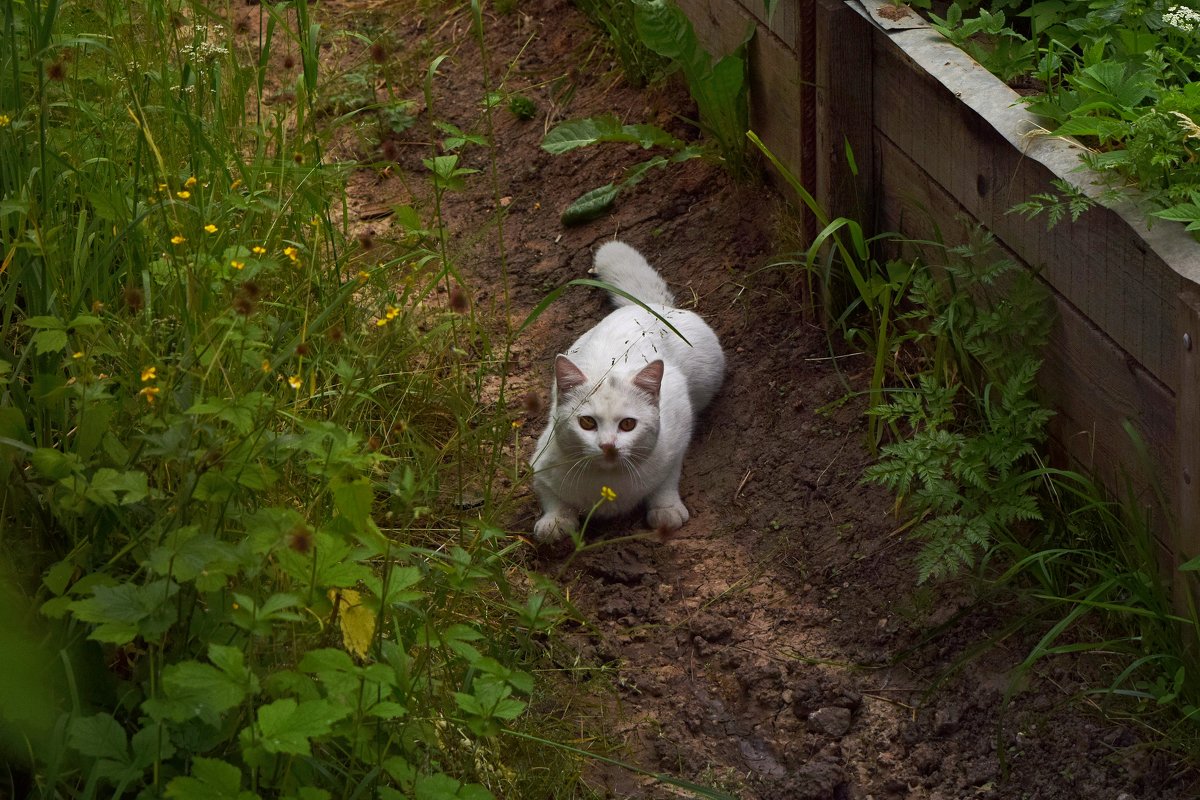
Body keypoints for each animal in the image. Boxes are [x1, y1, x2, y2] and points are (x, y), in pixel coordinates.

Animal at [532, 242, 720, 544]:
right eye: (587, 422)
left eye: (628, 424)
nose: (608, 445)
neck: (607, 485)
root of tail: (647, 306)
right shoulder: (540, 464)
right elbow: (550, 497)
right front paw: (555, 521)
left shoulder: (676, 438)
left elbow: (667, 480)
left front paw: (665, 508)